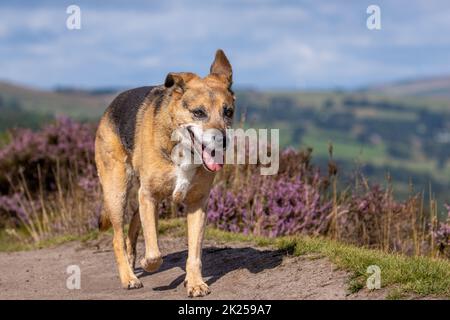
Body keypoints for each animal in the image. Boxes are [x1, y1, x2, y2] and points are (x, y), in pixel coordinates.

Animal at [95, 49, 236, 298]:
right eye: (198, 112)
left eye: (227, 112)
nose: (222, 142)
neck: (182, 146)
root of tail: (110, 107)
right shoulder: (149, 196)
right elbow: (154, 253)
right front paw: (147, 264)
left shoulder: (197, 204)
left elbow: (194, 254)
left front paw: (195, 283)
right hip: (117, 192)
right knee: (117, 238)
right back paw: (129, 277)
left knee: (133, 223)